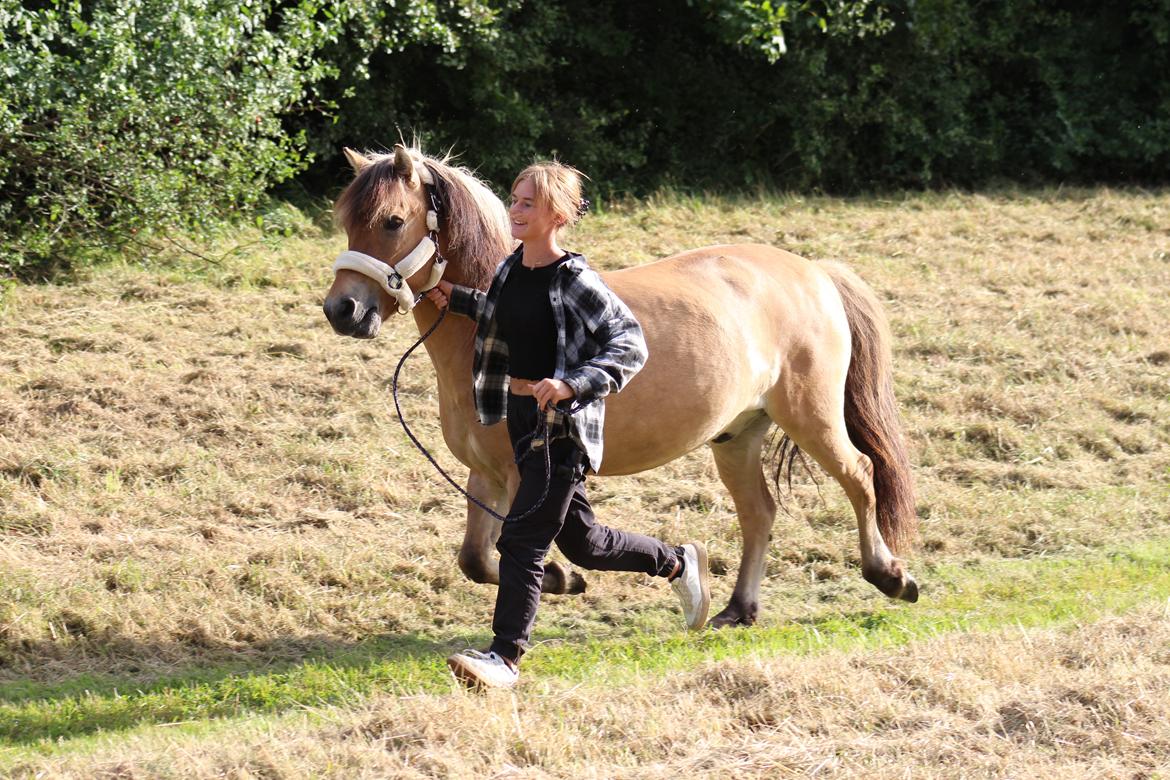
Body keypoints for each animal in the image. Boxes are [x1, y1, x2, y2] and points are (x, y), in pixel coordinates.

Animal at [325, 143, 917, 626]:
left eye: (392, 221)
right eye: (347, 222)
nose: (342, 310)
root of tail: (815, 272)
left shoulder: (519, 480)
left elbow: (512, 555)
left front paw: (558, 579)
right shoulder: (485, 475)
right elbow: (474, 558)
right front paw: (566, 578)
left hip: (812, 417)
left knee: (860, 475)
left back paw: (889, 575)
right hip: (737, 436)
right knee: (759, 512)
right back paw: (737, 608)